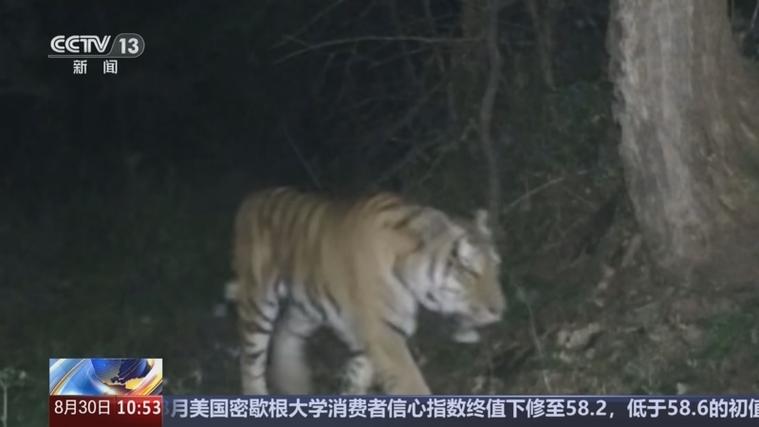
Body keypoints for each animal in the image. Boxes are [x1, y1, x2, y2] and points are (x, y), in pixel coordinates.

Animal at [231, 187, 505, 395]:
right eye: (468, 270)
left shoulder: (371, 335)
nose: (500, 310)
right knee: (249, 362)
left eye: (496, 266)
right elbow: (412, 385)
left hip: (307, 308)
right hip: (258, 304)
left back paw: (294, 385)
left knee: (286, 333)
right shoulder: (384, 334)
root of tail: (252, 198)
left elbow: (356, 377)